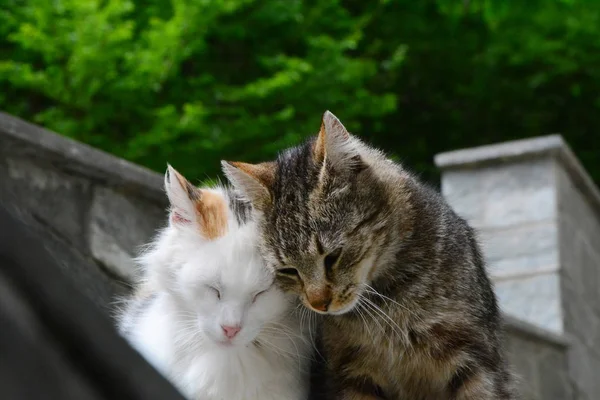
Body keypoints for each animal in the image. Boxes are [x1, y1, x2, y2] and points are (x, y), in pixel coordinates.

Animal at [220, 111, 516, 398]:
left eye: (333, 256)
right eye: (289, 270)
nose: (318, 304)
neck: (387, 302)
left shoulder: (476, 360)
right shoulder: (350, 372)